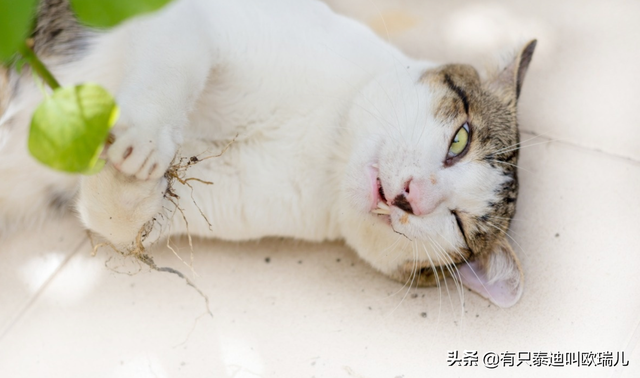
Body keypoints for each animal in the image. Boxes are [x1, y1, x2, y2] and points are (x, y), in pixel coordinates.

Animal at [0, 0, 536, 308]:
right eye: (460, 139)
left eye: (459, 226)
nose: (411, 196)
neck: (323, 145)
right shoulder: (199, 16)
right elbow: (177, 57)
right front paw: (144, 137)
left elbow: (116, 219)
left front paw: (128, 175)